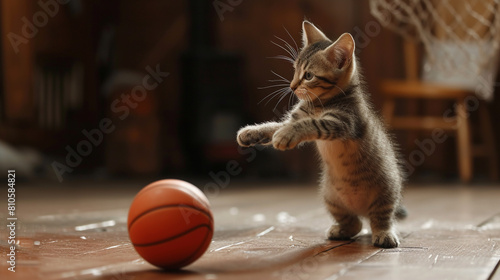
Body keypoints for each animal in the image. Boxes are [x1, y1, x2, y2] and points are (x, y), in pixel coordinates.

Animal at [235, 20, 406, 247]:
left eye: (308, 76)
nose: (292, 86)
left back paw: (384, 234)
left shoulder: (343, 122)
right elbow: (274, 126)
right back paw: (341, 230)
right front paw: (250, 133)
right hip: (331, 198)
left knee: (381, 218)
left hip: (385, 193)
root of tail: (361, 210)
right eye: (294, 70)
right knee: (355, 224)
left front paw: (285, 136)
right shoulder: (295, 118)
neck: (318, 104)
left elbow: (310, 124)